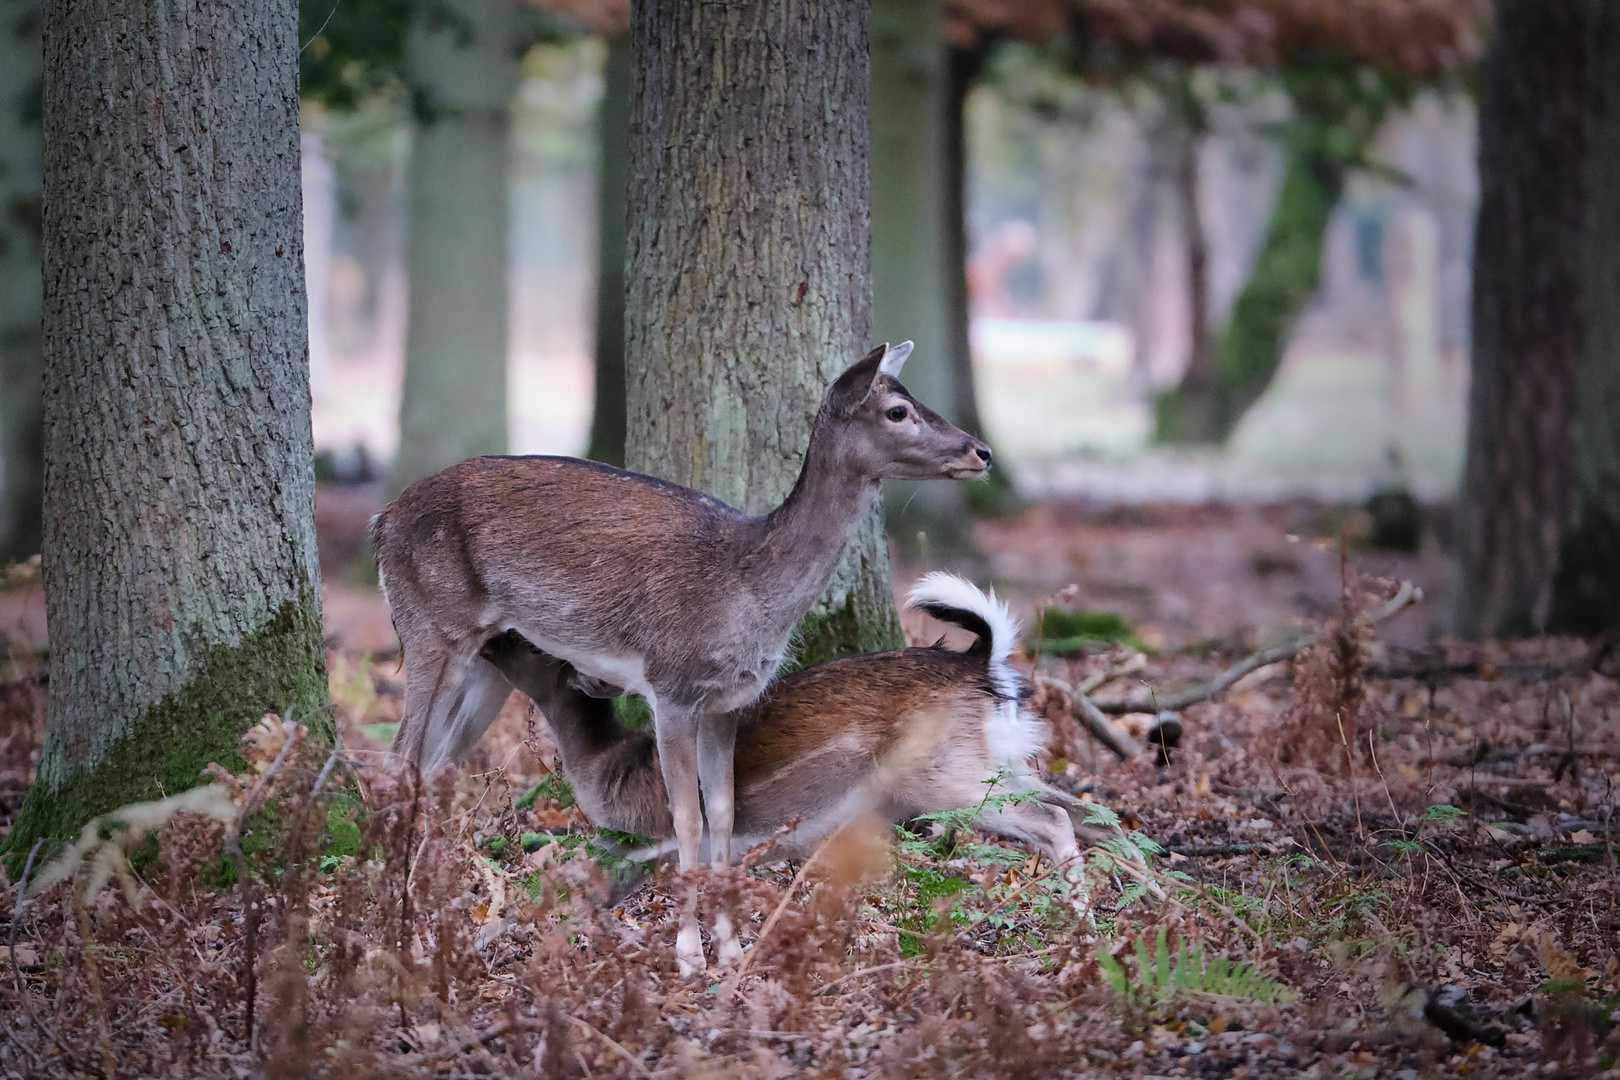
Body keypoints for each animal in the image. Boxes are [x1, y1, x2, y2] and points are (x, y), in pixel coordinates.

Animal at [375, 344, 984, 971]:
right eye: (896, 410)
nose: (980, 451)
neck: (749, 594)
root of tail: (382, 521)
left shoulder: (726, 702)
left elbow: (723, 810)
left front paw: (732, 946)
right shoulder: (671, 686)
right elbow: (685, 815)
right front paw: (690, 952)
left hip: (485, 662)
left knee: (437, 768)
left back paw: (431, 916)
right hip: (430, 626)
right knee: (399, 761)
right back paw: (395, 930)